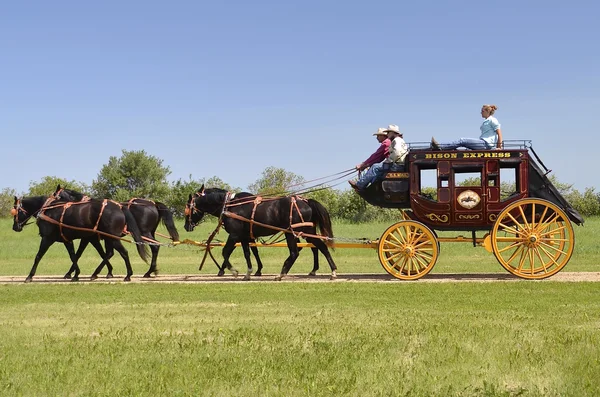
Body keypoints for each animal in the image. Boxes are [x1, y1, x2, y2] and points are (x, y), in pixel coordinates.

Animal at [11, 194, 149, 282]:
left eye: (15, 211)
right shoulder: (68, 240)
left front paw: (29, 276)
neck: (48, 209)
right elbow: (74, 256)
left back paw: (128, 275)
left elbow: (38, 256)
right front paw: (75, 274)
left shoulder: (47, 239)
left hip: (113, 238)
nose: (14, 227)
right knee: (110, 253)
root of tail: (119, 207)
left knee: (123, 253)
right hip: (109, 238)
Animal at [184, 185, 338, 280]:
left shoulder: (234, 235)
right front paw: (249, 273)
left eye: (188, 208)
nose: (186, 226)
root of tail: (306, 201)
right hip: (305, 231)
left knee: (297, 252)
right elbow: (247, 253)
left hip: (294, 232)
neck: (230, 205)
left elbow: (225, 252)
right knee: (320, 247)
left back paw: (281, 274)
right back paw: (331, 271)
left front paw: (234, 271)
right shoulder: (244, 237)